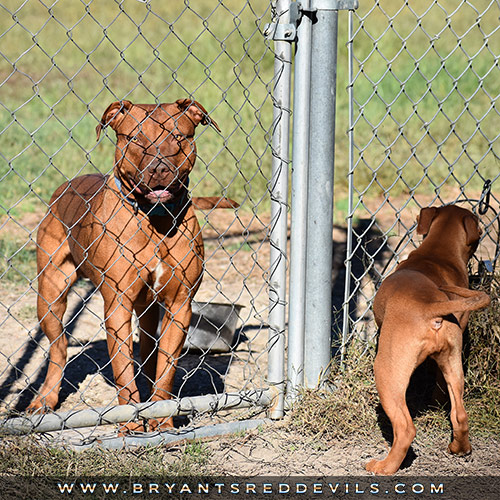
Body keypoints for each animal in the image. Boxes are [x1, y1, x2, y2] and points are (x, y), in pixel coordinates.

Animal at [29, 98, 240, 434]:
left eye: (178, 136)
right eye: (135, 139)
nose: (159, 168)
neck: (154, 217)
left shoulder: (180, 305)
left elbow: (166, 367)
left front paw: (162, 418)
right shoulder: (117, 305)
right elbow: (123, 370)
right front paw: (130, 422)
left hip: (149, 308)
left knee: (150, 353)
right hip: (50, 295)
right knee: (59, 348)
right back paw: (45, 399)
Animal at [366, 205, 490, 474]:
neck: (437, 253)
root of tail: (429, 307)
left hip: (386, 372)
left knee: (405, 428)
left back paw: (384, 466)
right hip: (453, 361)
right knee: (459, 415)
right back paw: (459, 449)